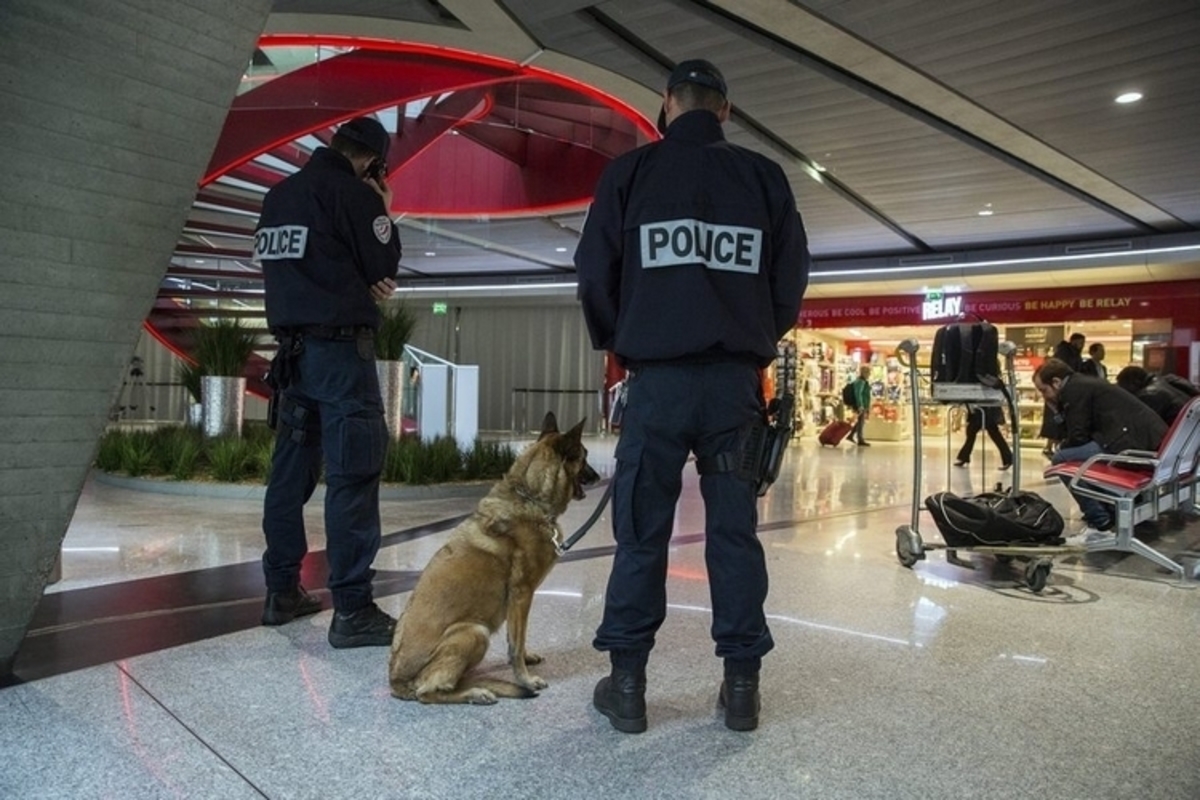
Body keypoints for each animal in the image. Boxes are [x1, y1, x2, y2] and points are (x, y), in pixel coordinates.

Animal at [388, 417, 600, 705]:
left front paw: (526, 659)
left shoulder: (517, 602)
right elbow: (516, 644)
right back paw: (476, 693)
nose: (598, 477)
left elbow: (516, 639)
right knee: (428, 693)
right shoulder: (521, 595)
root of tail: (396, 681)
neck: (529, 495)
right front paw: (525, 679)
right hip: (475, 632)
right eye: (585, 456)